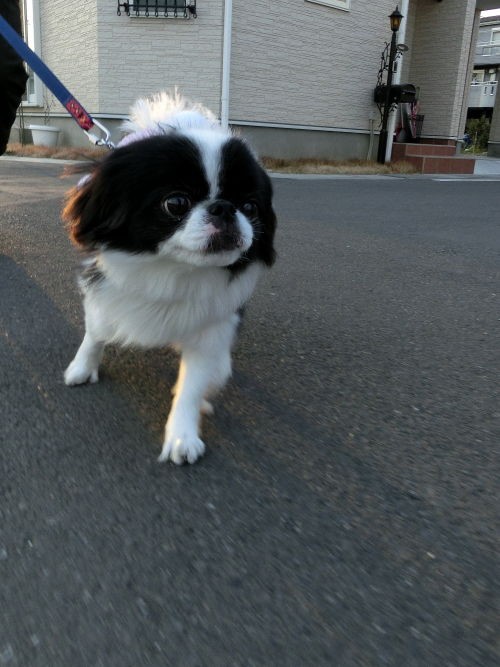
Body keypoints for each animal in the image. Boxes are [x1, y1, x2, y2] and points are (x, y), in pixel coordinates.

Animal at [62, 92, 278, 464]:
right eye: (175, 203)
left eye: (251, 208)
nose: (224, 208)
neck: (173, 270)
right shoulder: (105, 288)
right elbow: (96, 332)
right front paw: (82, 367)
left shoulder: (212, 328)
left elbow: (193, 384)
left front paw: (182, 436)